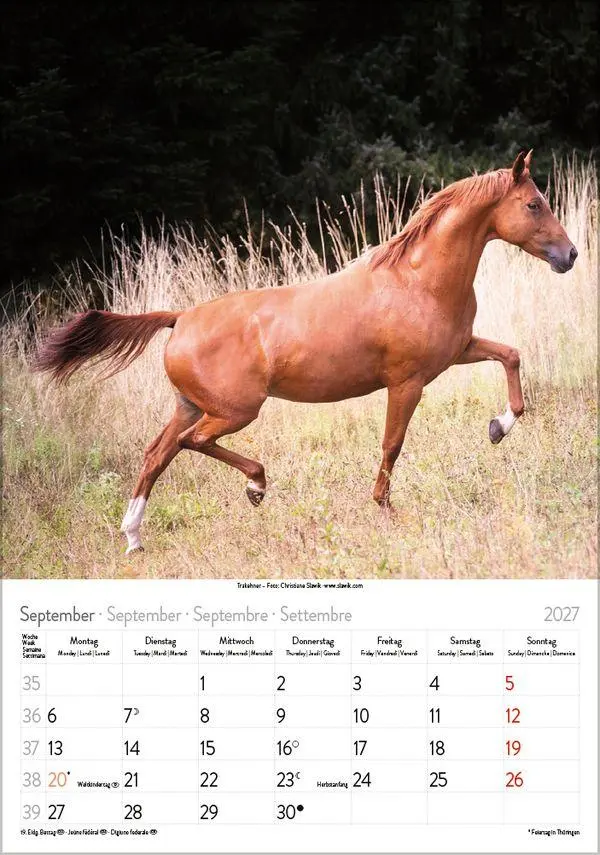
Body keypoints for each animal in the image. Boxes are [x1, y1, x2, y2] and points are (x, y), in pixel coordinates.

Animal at [35, 151, 577, 554]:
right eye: (534, 204)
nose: (570, 256)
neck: (419, 280)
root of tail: (181, 318)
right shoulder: (407, 382)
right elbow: (392, 444)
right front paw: (386, 508)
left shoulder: (458, 351)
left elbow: (511, 356)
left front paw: (498, 428)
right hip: (235, 410)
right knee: (191, 443)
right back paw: (255, 486)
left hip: (190, 404)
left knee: (156, 454)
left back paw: (133, 536)